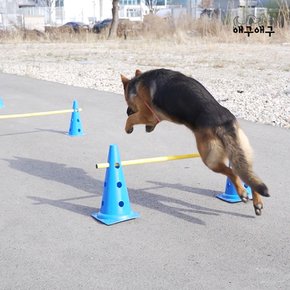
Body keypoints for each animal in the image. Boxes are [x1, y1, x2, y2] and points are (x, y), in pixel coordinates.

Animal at [120, 68, 270, 215]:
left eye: (127, 102)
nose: (126, 111)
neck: (139, 82)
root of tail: (223, 122)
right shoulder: (154, 118)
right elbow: (147, 121)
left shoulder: (147, 114)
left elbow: (131, 119)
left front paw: (128, 127)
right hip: (240, 155)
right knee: (247, 175)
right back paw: (256, 202)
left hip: (210, 160)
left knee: (232, 173)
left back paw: (242, 193)